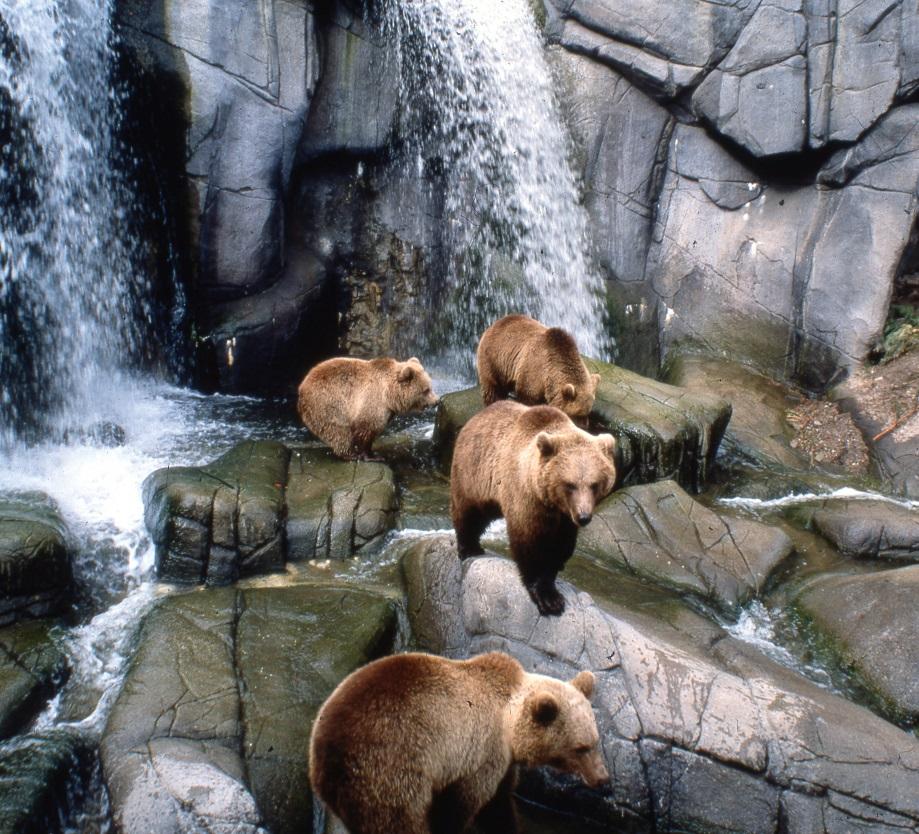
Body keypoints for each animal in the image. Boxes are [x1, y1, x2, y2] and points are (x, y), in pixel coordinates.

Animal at [296, 356, 436, 462]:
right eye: (426, 390)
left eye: (430, 386)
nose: (436, 401)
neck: (389, 395)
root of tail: (301, 389)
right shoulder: (372, 402)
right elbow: (366, 429)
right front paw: (372, 456)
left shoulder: (386, 410)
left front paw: (373, 453)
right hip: (329, 405)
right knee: (339, 431)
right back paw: (349, 454)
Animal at [310, 648, 612, 832]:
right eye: (581, 748)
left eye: (596, 741)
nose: (603, 778)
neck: (509, 725)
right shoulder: (477, 755)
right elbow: (464, 807)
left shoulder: (501, 763)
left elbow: (499, 803)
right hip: (388, 767)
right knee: (397, 820)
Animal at [450, 400, 616, 616]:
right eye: (570, 485)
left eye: (594, 484)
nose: (584, 517)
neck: (552, 502)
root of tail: (476, 417)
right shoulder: (526, 498)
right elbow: (531, 543)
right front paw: (548, 598)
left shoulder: (564, 518)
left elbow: (561, 545)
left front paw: (555, 572)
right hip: (474, 473)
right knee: (468, 512)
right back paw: (470, 547)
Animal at [474, 316, 604, 426]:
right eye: (577, 413)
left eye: (588, 411)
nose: (585, 426)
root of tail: (494, 324)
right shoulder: (533, 372)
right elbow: (527, 398)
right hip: (493, 359)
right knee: (493, 389)